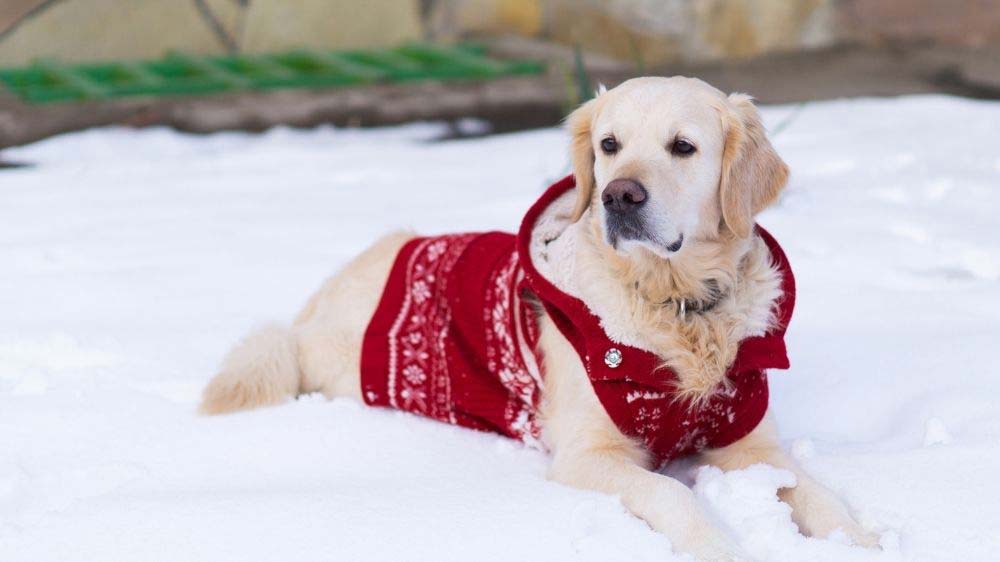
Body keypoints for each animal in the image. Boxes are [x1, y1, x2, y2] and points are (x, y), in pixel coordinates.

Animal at [199, 76, 880, 556]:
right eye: (609, 145)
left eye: (684, 147)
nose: (619, 196)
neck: (676, 305)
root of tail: (309, 311)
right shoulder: (586, 455)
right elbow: (668, 490)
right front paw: (714, 545)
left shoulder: (749, 440)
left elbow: (813, 491)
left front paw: (859, 538)